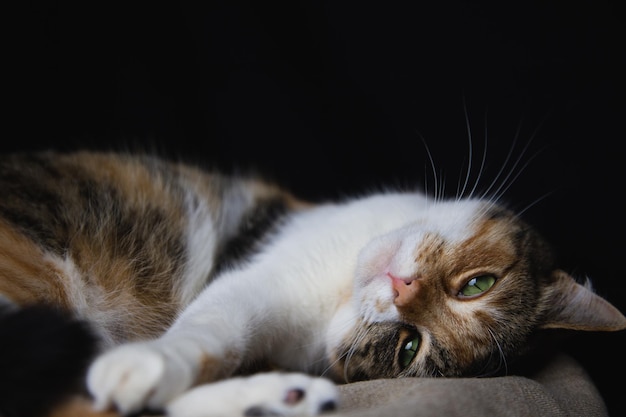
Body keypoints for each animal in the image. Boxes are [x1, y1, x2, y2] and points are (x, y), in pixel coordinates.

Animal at [1, 150, 624, 416]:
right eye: (477, 284)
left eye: (408, 348)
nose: (402, 288)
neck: (338, 292)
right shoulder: (261, 278)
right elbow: (216, 326)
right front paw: (152, 362)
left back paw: (280, 399)